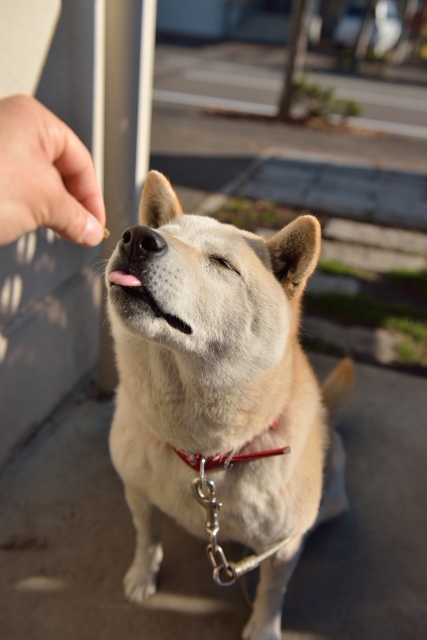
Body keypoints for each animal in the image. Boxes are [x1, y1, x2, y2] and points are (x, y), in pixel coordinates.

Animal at [105, 170, 352, 640]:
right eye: (165, 233)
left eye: (221, 264)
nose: (137, 237)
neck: (203, 454)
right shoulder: (137, 491)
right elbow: (147, 537)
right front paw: (143, 575)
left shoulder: (282, 547)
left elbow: (272, 591)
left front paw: (263, 627)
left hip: (329, 502)